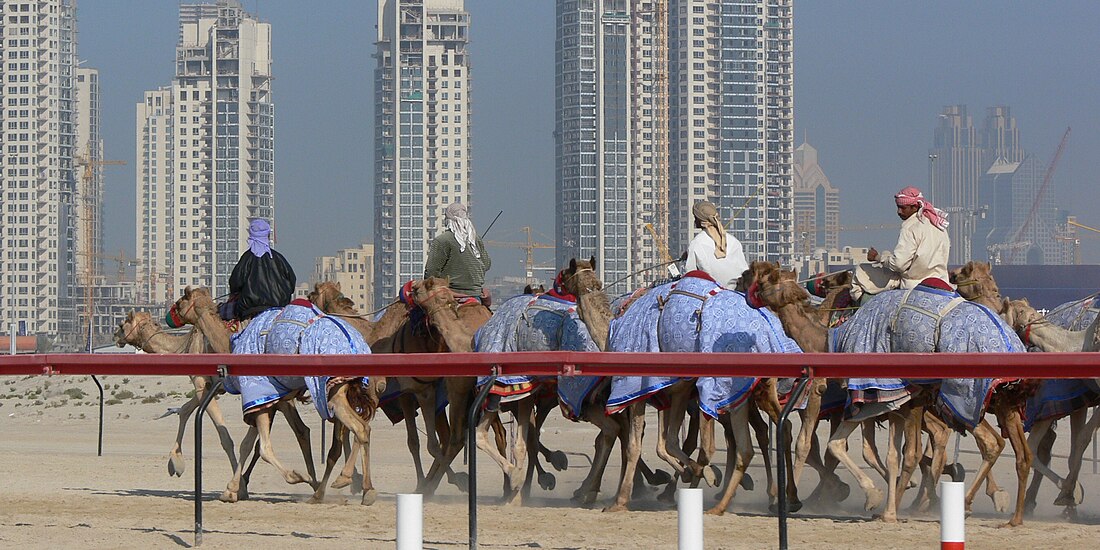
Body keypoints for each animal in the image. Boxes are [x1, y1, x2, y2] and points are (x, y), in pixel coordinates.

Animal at [748, 261, 1029, 523]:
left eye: (763, 279)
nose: (748, 292)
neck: (830, 340)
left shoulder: (848, 395)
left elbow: (814, 445)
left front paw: (795, 500)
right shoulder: (883, 402)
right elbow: (868, 450)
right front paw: (876, 497)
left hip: (961, 397)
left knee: (980, 441)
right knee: (990, 443)